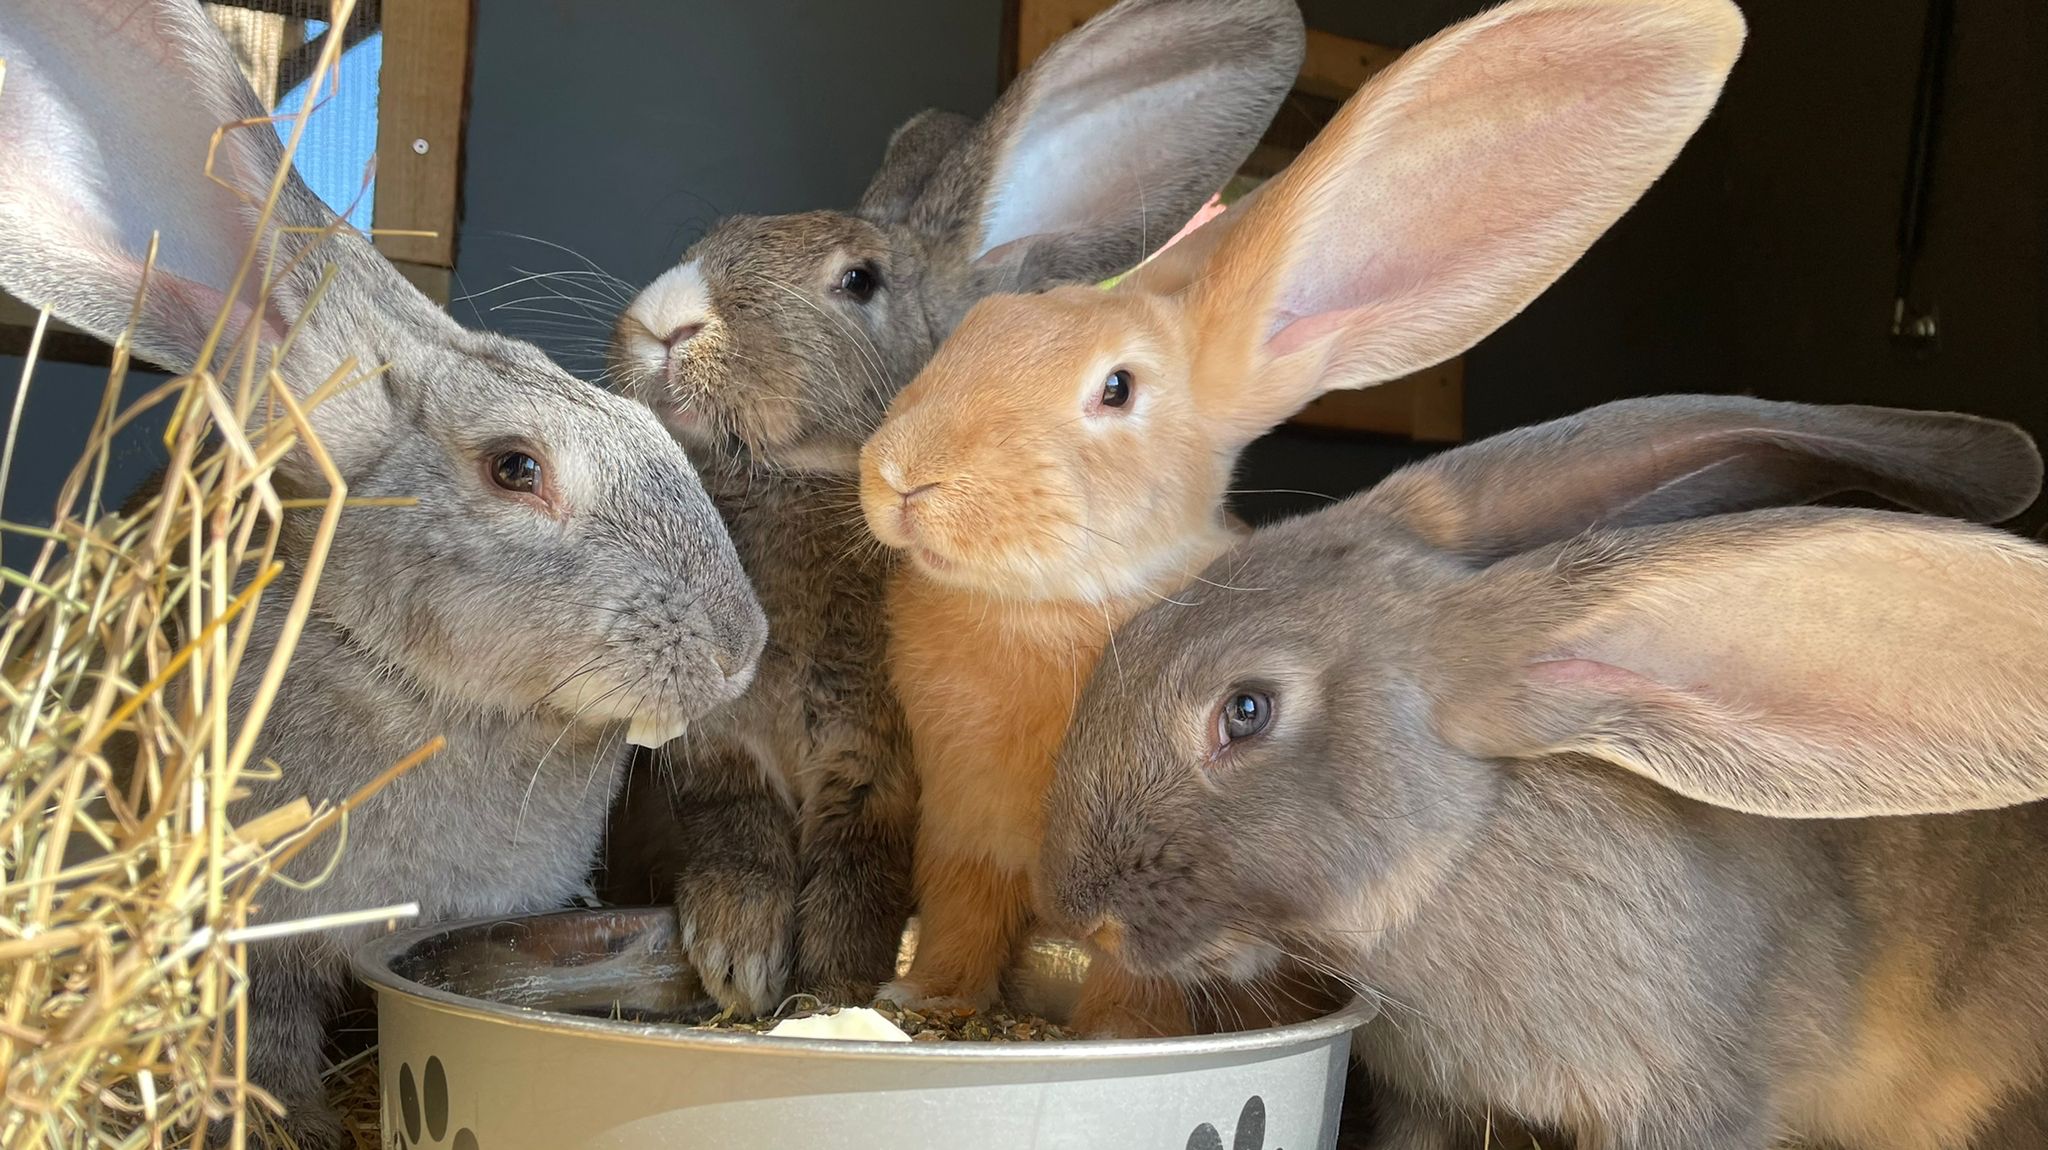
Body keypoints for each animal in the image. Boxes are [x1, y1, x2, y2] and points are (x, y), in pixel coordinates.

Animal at [599, 0, 1307, 1014]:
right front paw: (740, 957)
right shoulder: (719, 751)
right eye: (717, 233)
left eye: (859, 281)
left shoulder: (882, 772)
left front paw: (830, 993)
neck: (792, 483)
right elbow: (740, 833)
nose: (667, 321)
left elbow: (856, 880)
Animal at [856, 0, 1749, 1037]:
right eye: (967, 336)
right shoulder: (964, 845)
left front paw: (1115, 1035)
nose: (903, 477)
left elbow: (1136, 981)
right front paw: (919, 999)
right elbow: (961, 932)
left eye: (1117, 389)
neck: (1034, 607)